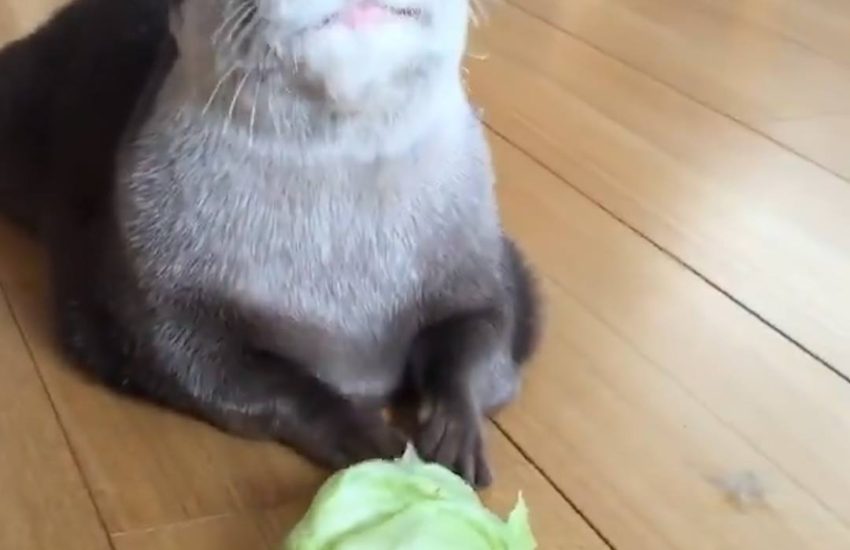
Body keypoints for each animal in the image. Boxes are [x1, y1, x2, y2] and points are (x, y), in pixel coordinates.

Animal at [0, 0, 540, 487]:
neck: (346, 295)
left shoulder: (484, 262)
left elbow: (487, 335)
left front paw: (455, 430)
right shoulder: (146, 290)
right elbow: (221, 372)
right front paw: (367, 436)